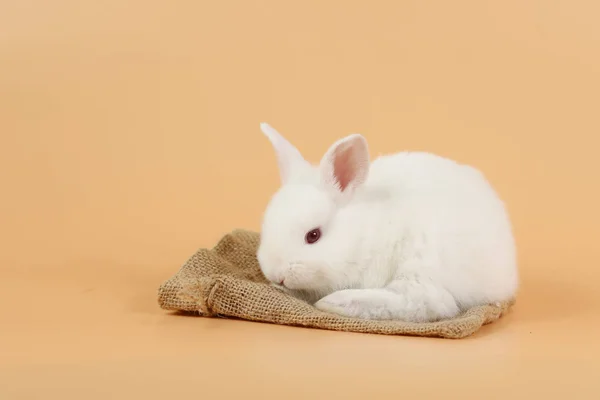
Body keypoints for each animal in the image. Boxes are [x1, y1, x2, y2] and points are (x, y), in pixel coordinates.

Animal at [255, 122, 516, 322]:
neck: (363, 235)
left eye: (313, 235)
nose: (276, 275)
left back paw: (336, 302)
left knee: (429, 303)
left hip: (422, 263)